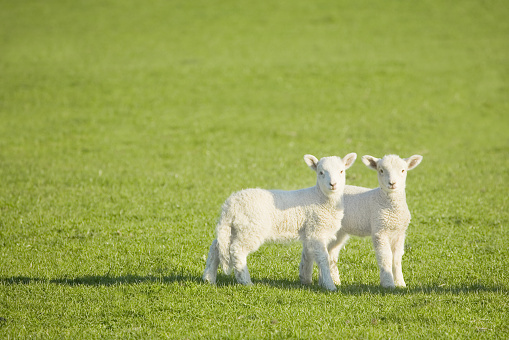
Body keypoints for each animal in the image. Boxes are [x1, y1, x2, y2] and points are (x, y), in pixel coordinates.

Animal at [200, 153, 356, 290]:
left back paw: (209, 278)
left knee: (216, 247)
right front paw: (330, 285)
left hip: (234, 228)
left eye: (341, 171)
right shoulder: (317, 231)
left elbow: (308, 256)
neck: (320, 197)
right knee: (237, 250)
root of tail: (229, 205)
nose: (333, 184)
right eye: (321, 172)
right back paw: (246, 281)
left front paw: (307, 280)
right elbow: (324, 258)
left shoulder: (310, 232)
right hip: (251, 228)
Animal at [318, 154, 420, 290]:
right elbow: (385, 256)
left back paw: (332, 281)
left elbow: (397, 258)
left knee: (331, 253)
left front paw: (400, 283)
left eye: (403, 170)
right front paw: (388, 284)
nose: (392, 183)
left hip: (339, 231)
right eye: (381, 170)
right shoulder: (380, 230)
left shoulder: (399, 233)